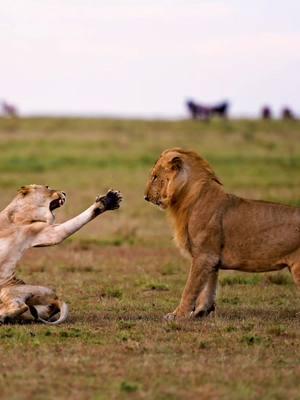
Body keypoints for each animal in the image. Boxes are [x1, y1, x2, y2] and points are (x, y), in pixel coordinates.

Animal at [0, 186, 122, 324]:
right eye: (47, 187)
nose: (64, 192)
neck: (15, 218)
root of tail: (57, 298)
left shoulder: (44, 232)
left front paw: (109, 200)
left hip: (10, 290)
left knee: (22, 306)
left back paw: (3, 317)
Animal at [145, 148, 300, 320]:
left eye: (155, 176)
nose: (145, 197)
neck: (187, 199)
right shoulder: (211, 258)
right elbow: (208, 287)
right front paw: (201, 312)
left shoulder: (204, 255)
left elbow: (190, 288)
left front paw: (177, 315)